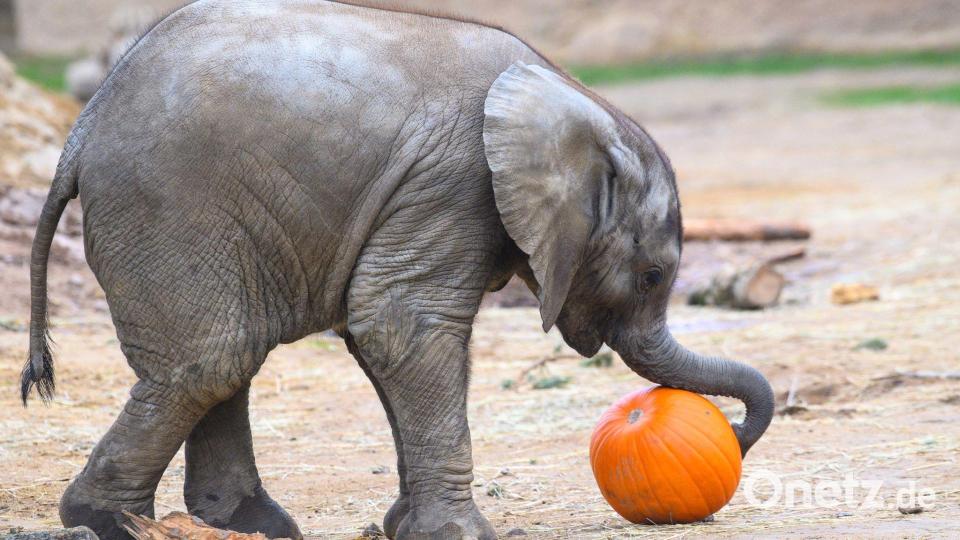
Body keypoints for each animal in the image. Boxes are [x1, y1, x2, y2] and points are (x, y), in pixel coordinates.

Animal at [20, 1, 774, 539]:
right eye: (651, 277)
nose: (731, 436)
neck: (568, 96)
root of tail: (82, 128)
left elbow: (381, 336)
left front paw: (407, 528)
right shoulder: (454, 181)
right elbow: (401, 326)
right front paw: (464, 536)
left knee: (225, 358)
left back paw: (244, 527)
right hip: (167, 206)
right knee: (211, 359)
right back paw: (105, 523)